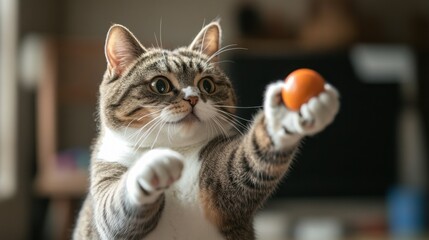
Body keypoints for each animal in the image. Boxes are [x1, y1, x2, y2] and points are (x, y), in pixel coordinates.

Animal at [73, 20, 340, 240]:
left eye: (207, 85)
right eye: (160, 84)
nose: (192, 98)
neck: (176, 148)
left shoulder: (220, 187)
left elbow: (242, 163)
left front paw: (285, 117)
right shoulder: (106, 181)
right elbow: (113, 212)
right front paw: (152, 166)